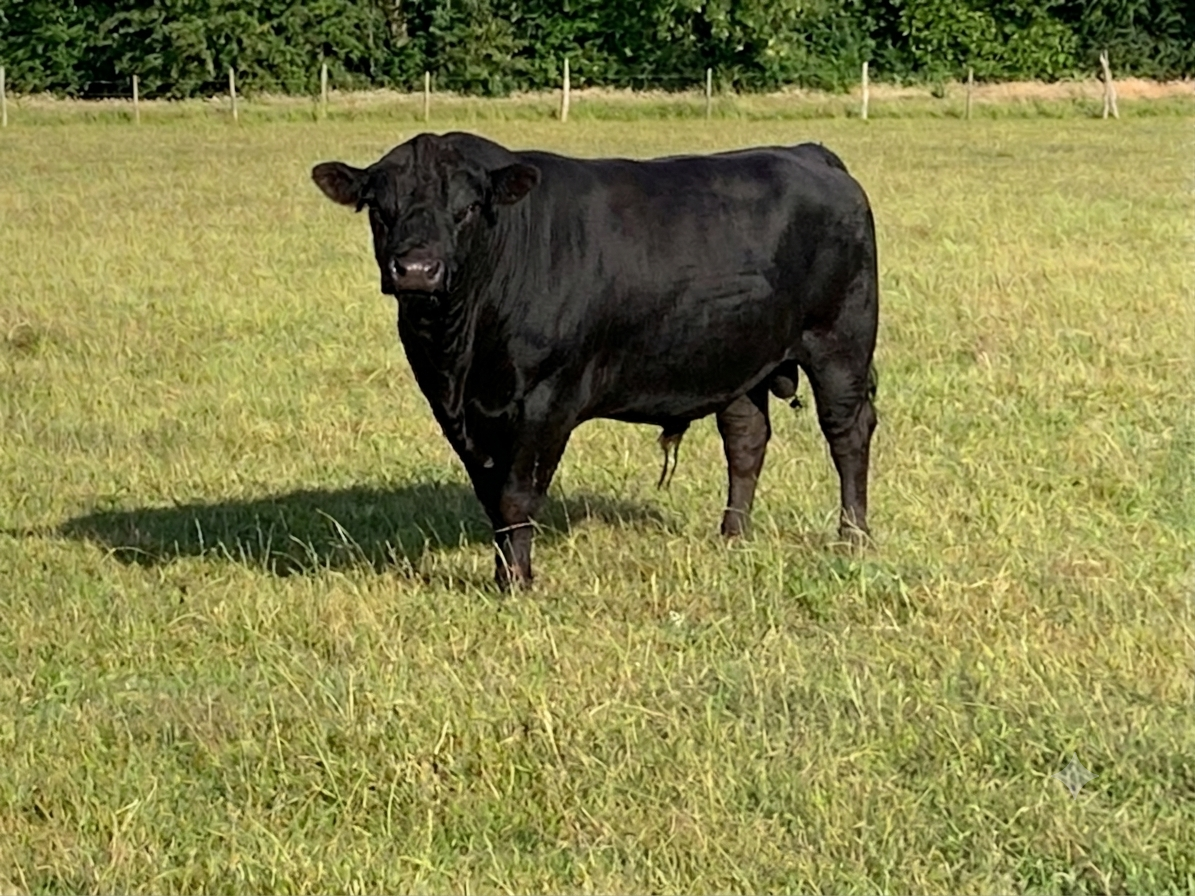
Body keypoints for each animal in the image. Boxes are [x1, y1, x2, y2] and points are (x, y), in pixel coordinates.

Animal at [312, 132, 878, 589]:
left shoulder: (545, 401)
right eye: (379, 209)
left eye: (468, 208)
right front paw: (503, 572)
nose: (415, 269)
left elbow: (517, 494)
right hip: (739, 358)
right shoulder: (456, 410)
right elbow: (491, 496)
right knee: (746, 439)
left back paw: (852, 536)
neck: (461, 351)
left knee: (847, 434)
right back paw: (733, 534)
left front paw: (517, 582)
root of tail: (808, 152)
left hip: (841, 341)